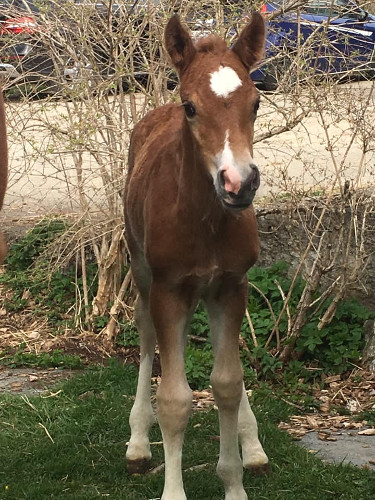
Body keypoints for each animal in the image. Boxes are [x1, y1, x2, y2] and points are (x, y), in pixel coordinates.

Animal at [125, 11, 268, 500]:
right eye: (190, 106)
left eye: (256, 103)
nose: (239, 183)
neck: (203, 218)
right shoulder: (168, 289)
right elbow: (174, 398)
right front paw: (173, 490)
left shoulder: (230, 285)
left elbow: (227, 383)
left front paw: (235, 482)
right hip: (143, 273)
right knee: (149, 337)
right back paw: (137, 441)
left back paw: (253, 444)